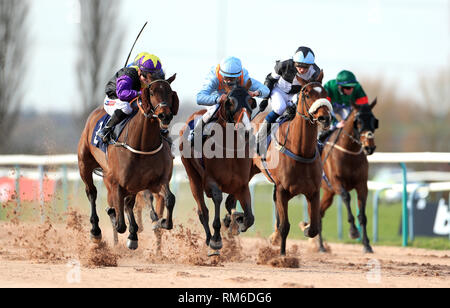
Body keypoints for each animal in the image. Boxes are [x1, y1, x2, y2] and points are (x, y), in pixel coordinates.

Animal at [77, 75, 179, 250]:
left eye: (169, 92)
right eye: (152, 92)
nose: (165, 116)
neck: (143, 145)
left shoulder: (156, 182)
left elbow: (170, 199)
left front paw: (161, 221)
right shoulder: (116, 183)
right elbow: (119, 224)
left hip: (133, 184)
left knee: (129, 204)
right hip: (85, 164)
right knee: (92, 193)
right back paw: (96, 232)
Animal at [179, 80, 256, 255]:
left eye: (251, 101)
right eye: (230, 102)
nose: (245, 130)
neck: (231, 150)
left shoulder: (242, 185)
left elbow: (249, 217)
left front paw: (236, 221)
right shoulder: (210, 181)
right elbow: (218, 199)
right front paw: (216, 240)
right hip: (192, 175)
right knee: (203, 212)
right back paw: (209, 239)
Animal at [251, 76, 332, 255]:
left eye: (325, 93)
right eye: (307, 94)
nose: (325, 118)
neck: (301, 151)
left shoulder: (313, 191)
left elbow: (314, 227)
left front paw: (305, 228)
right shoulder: (282, 190)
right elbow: (284, 226)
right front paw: (282, 255)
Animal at [318, 98, 378, 253]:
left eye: (374, 121)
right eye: (358, 122)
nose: (369, 147)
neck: (348, 153)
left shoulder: (362, 185)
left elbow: (362, 215)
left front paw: (366, 245)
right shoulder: (337, 182)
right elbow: (346, 197)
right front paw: (353, 231)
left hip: (329, 193)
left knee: (319, 212)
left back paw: (319, 244)